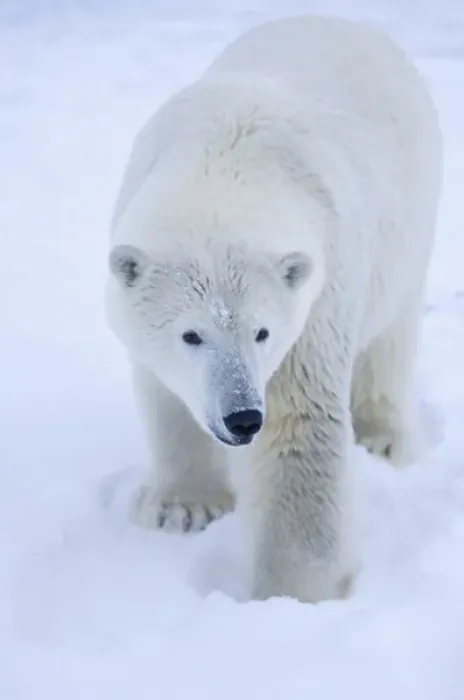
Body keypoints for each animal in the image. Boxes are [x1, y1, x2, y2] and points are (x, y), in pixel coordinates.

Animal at [105, 14, 443, 603]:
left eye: (262, 332)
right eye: (192, 335)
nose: (242, 417)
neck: (226, 160)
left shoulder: (318, 295)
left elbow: (297, 423)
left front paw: (297, 592)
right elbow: (167, 397)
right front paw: (182, 509)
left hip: (412, 217)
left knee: (392, 336)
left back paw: (383, 438)